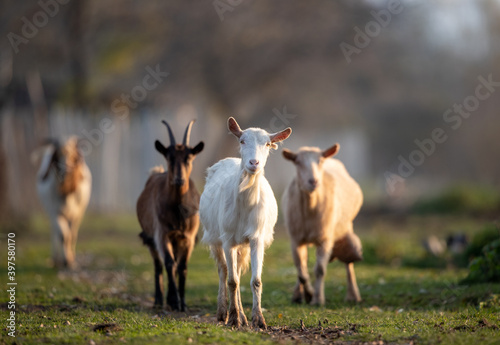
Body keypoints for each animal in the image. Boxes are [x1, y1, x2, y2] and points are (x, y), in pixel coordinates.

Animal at [35, 136, 92, 268]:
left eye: (73, 156)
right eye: (57, 156)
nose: (66, 171)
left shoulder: (78, 214)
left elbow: (72, 235)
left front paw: (71, 260)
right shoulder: (55, 213)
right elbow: (63, 236)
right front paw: (66, 260)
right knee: (55, 232)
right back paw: (55, 258)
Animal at [136, 119, 204, 310]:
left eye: (189, 158)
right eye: (169, 157)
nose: (179, 179)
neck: (178, 211)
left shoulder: (188, 237)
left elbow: (182, 266)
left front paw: (183, 303)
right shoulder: (162, 233)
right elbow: (169, 262)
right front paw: (173, 300)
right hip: (150, 236)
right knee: (158, 265)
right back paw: (159, 300)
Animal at [199, 116, 292, 328]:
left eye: (267, 144)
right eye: (242, 141)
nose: (253, 162)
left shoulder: (257, 237)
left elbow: (255, 280)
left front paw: (258, 319)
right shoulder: (227, 238)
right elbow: (231, 281)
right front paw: (233, 318)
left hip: (243, 245)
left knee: (239, 271)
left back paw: (242, 315)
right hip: (214, 236)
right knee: (223, 271)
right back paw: (223, 313)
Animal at [282, 144, 364, 304]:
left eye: (320, 161)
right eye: (297, 162)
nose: (313, 181)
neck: (310, 204)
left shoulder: (325, 238)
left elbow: (319, 269)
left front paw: (317, 299)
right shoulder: (295, 239)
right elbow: (301, 271)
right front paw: (308, 294)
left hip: (345, 227)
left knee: (348, 262)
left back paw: (353, 295)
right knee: (303, 264)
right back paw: (297, 295)